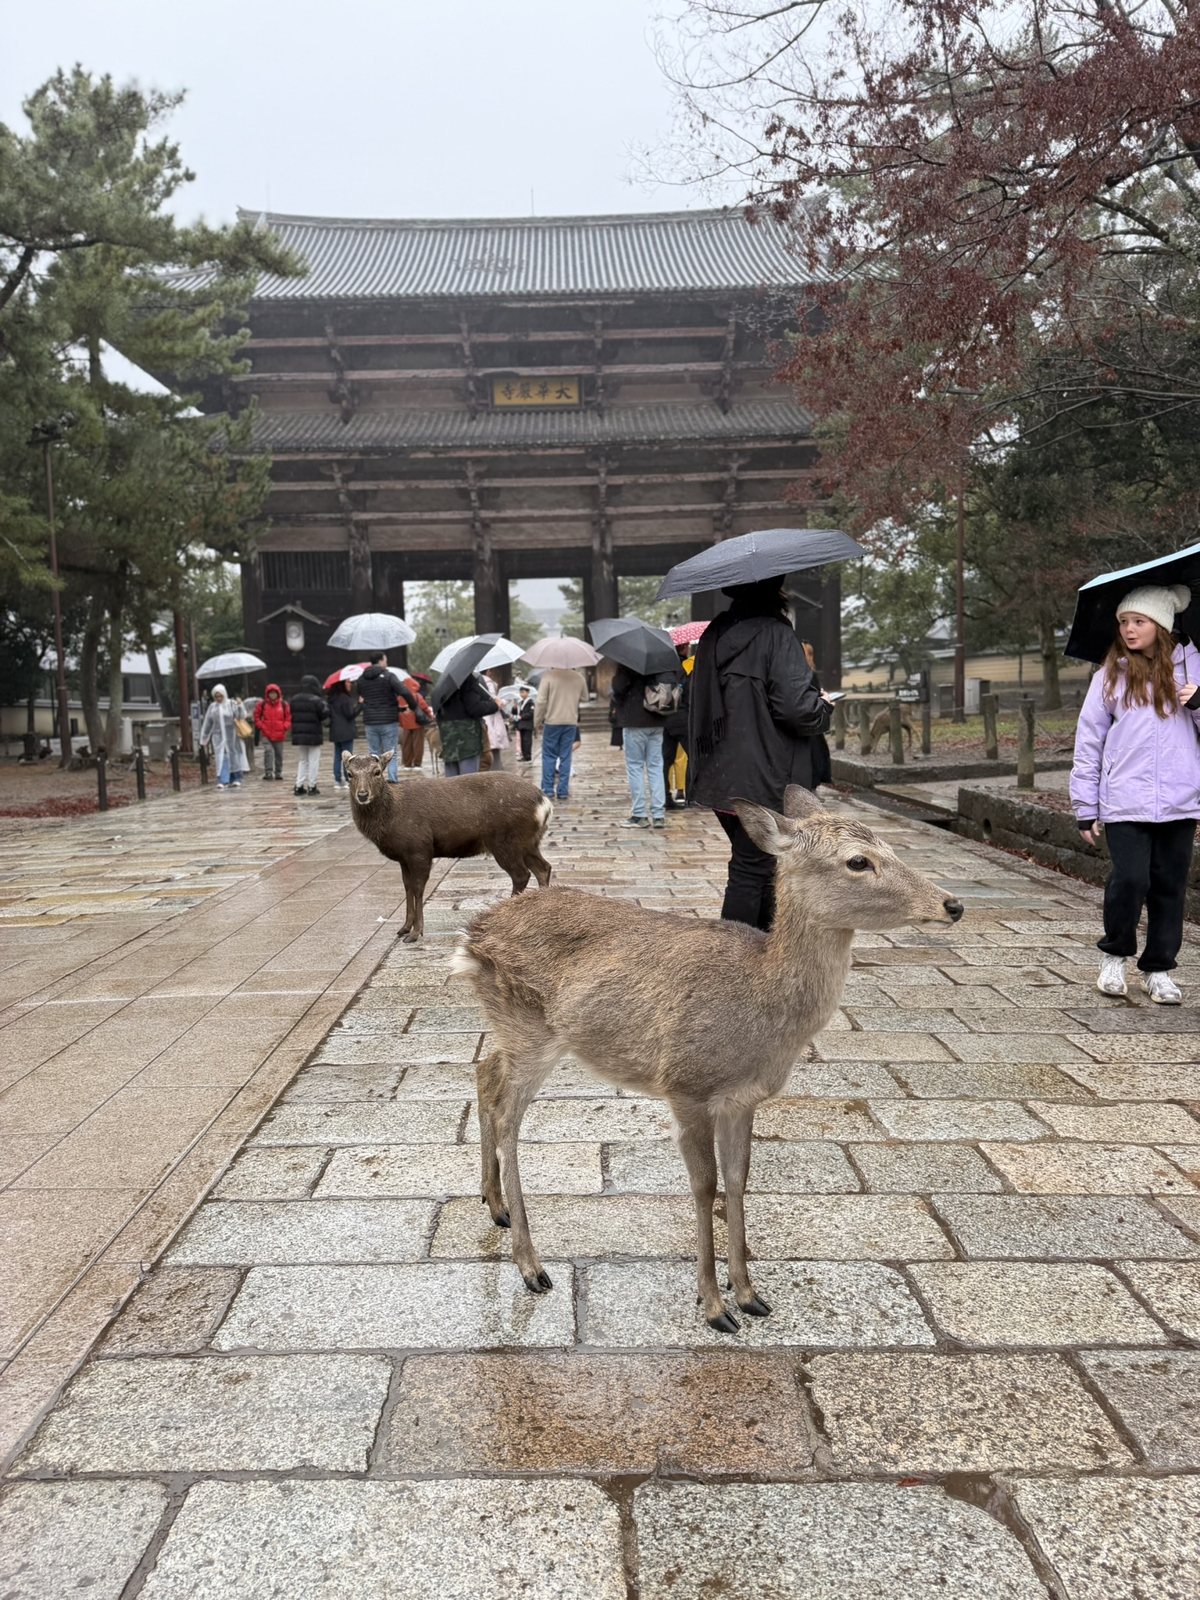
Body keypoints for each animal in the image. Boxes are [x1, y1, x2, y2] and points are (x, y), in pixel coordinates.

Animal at [343, 753, 552, 942]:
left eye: (377, 771)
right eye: (349, 774)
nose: (362, 795)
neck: (392, 816)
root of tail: (545, 804)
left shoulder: (419, 848)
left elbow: (418, 888)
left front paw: (415, 933)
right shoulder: (404, 857)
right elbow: (407, 887)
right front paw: (404, 928)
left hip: (505, 841)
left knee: (521, 874)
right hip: (529, 841)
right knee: (543, 867)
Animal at [452, 785, 963, 1332]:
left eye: (890, 846)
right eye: (858, 860)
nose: (953, 904)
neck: (760, 1010)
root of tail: (470, 935)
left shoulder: (744, 1099)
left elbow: (738, 1180)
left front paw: (749, 1294)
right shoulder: (686, 1085)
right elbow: (704, 1185)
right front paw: (714, 1305)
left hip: (516, 1030)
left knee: (484, 1073)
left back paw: (495, 1205)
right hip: (530, 1028)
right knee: (508, 1114)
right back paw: (531, 1265)